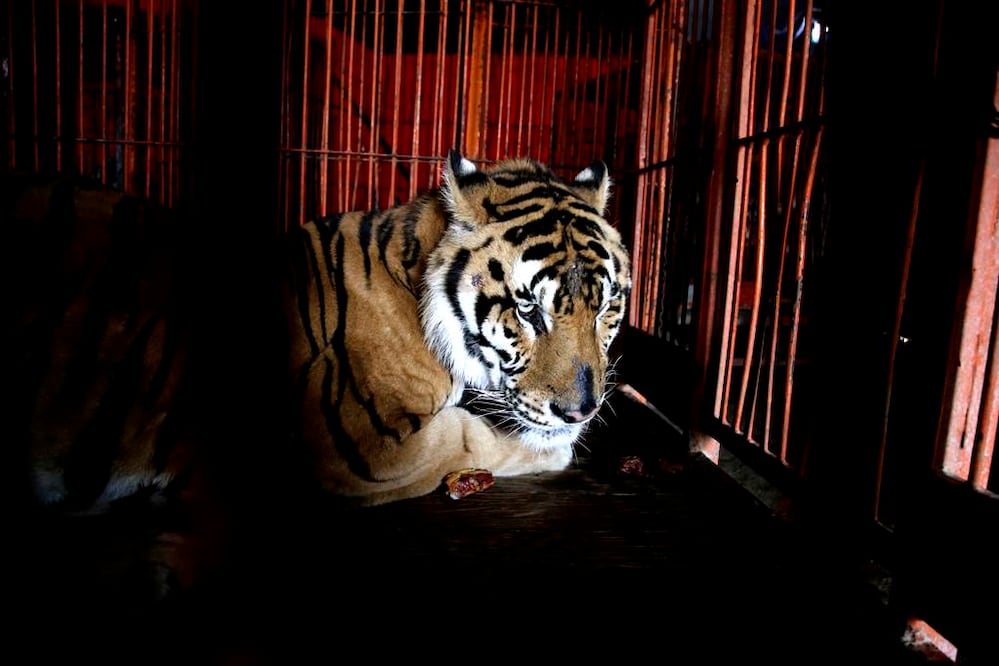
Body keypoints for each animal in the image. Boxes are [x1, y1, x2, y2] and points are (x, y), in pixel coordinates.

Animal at [282, 150, 632, 506]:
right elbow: (468, 436)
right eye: (528, 310)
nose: (580, 414)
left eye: (604, 307)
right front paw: (554, 451)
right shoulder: (356, 443)